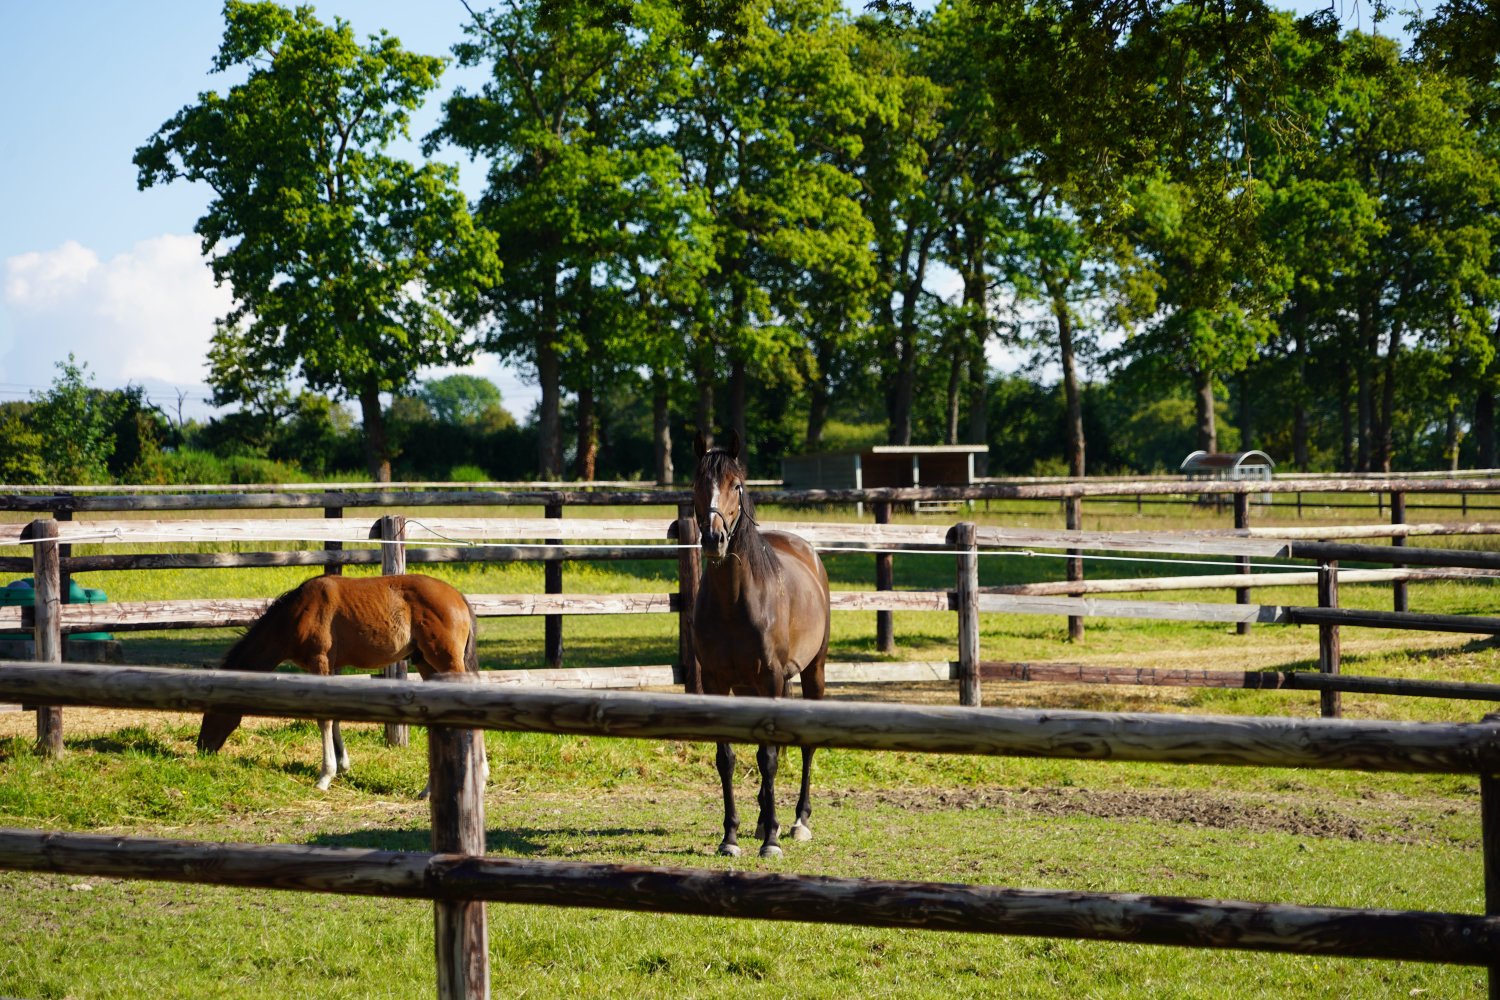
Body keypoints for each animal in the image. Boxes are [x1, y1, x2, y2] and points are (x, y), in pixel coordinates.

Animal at [197, 573, 480, 792]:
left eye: (211, 710)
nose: (202, 747)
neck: (296, 613)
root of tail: (459, 598)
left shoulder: (319, 660)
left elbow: (324, 718)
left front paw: (325, 777)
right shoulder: (330, 667)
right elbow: (335, 715)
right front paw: (343, 765)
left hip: (446, 662)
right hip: (426, 664)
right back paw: (431, 788)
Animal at [691, 431, 831, 858]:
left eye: (736, 485)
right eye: (698, 484)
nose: (715, 539)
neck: (734, 601)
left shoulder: (771, 679)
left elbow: (768, 758)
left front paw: (771, 840)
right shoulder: (717, 682)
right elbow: (727, 757)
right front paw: (730, 837)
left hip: (814, 672)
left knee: (805, 747)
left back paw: (798, 822)